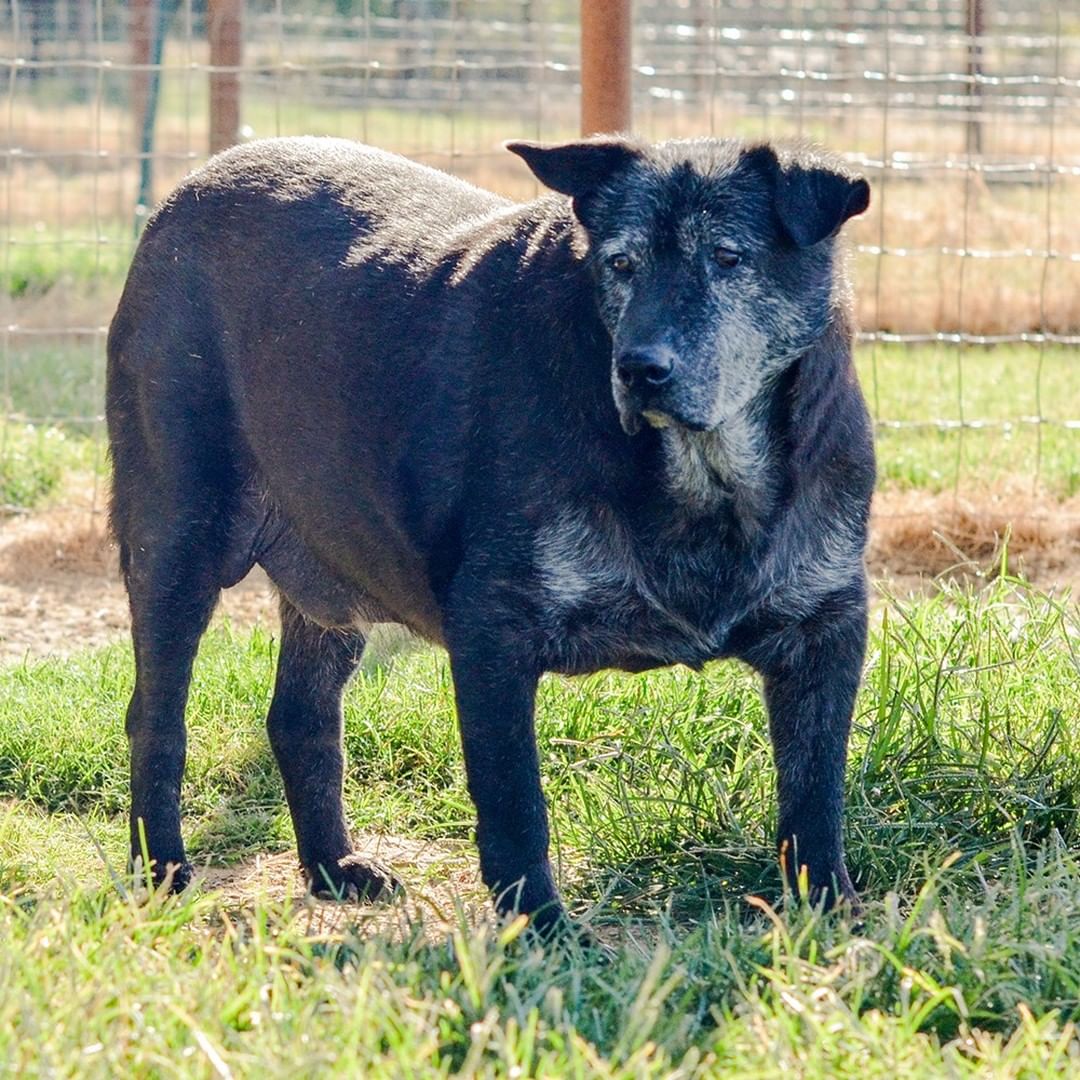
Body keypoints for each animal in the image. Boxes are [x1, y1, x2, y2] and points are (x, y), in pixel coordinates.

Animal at [105, 132, 872, 928]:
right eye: (619, 264)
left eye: (727, 256)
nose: (640, 369)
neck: (707, 480)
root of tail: (196, 183)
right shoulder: (493, 632)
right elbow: (515, 805)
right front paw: (543, 929)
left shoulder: (828, 628)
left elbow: (815, 792)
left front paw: (829, 908)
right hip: (177, 540)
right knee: (155, 720)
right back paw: (163, 868)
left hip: (329, 587)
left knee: (300, 718)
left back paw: (332, 867)